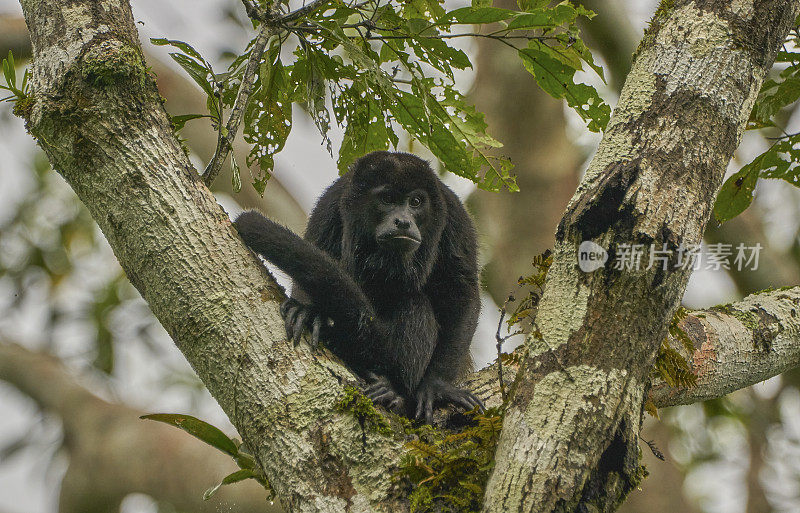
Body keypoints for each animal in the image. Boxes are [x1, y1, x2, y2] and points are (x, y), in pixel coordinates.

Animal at [231, 150, 482, 422]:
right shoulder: (332, 202)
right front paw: (308, 311)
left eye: (415, 202)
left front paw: (437, 386)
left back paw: (394, 392)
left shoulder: (454, 214)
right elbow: (317, 250)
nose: (403, 221)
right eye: (387, 199)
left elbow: (462, 291)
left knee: (415, 306)